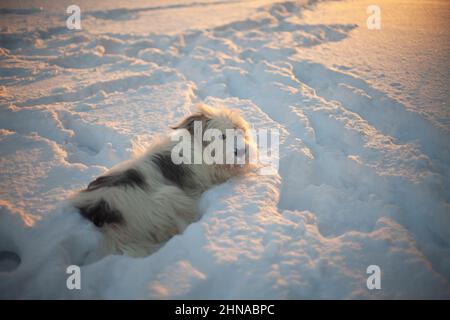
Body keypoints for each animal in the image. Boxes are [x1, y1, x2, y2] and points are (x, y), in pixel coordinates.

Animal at [69, 104, 255, 256]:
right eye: (222, 136)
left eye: (239, 130)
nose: (242, 150)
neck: (201, 148)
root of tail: (99, 215)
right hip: (167, 196)